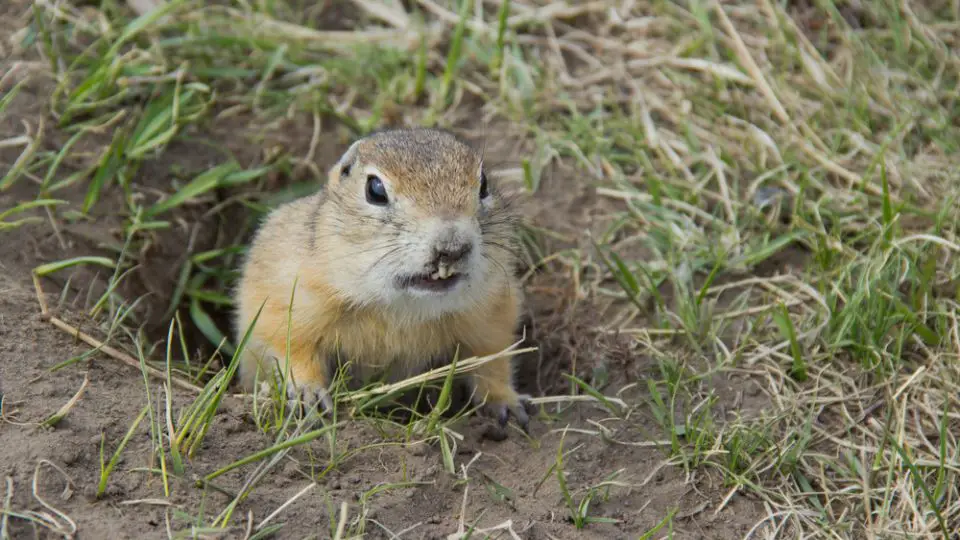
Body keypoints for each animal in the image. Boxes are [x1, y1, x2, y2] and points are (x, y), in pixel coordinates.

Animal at [232, 126, 532, 430]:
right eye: (374, 189)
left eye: (484, 185)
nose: (452, 247)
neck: (401, 308)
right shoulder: (289, 295)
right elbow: (290, 345)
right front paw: (309, 395)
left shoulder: (490, 313)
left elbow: (492, 359)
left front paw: (506, 404)